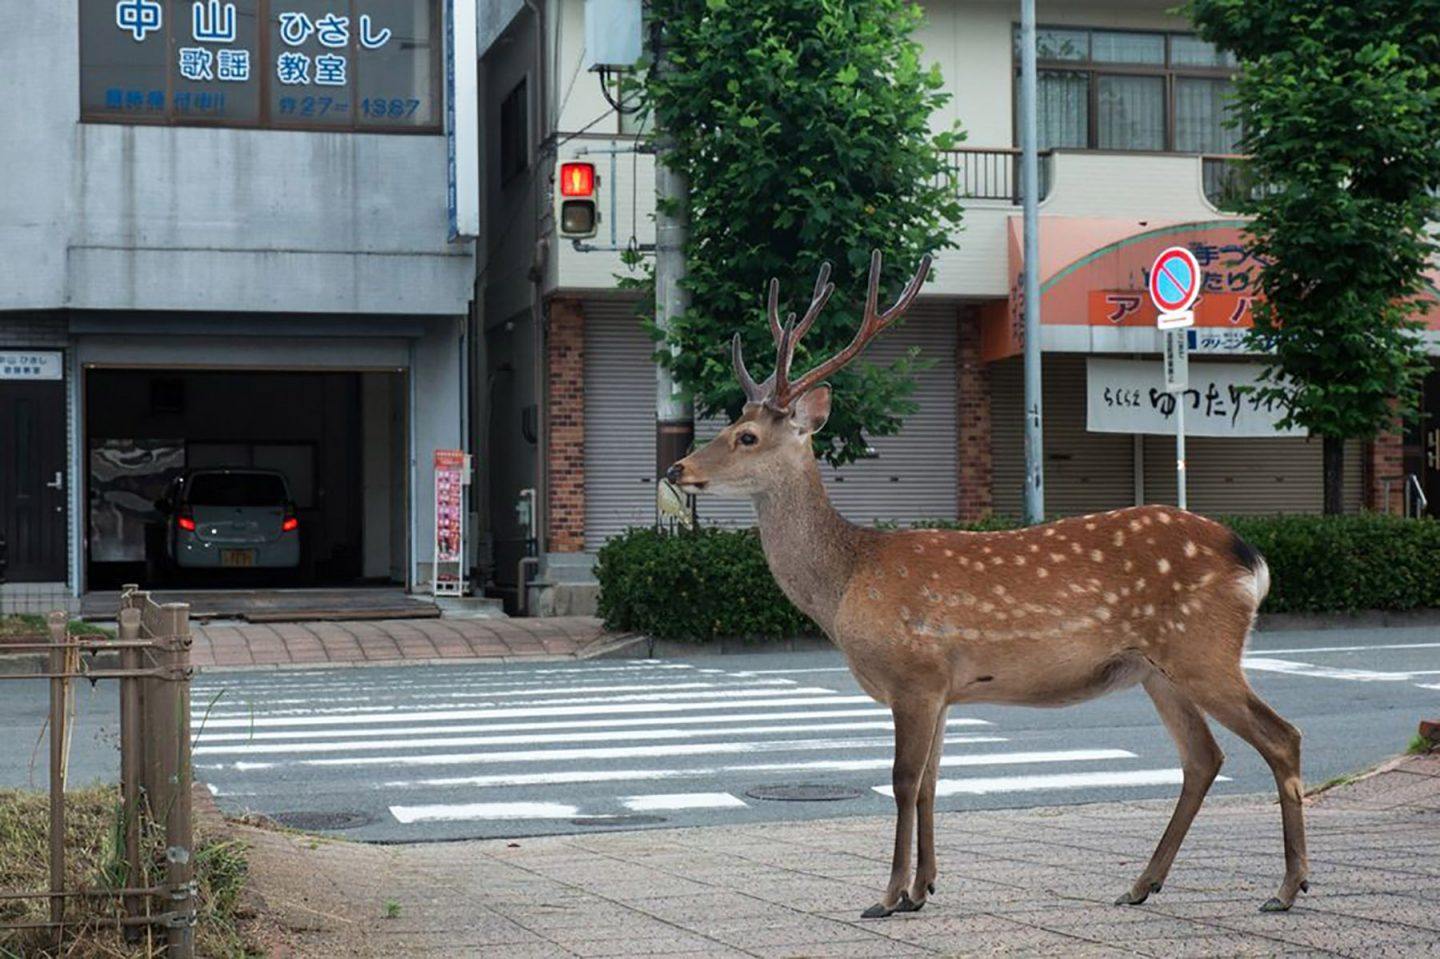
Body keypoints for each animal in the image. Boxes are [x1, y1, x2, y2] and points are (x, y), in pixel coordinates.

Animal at [668, 250, 1313, 915]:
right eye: (732, 421)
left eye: (746, 436)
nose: (676, 468)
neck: (848, 580)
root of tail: (1250, 559)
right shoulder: (943, 689)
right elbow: (931, 783)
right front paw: (923, 889)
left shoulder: (915, 674)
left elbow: (902, 781)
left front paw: (888, 895)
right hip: (1157, 669)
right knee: (1203, 757)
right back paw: (1141, 884)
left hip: (1202, 649)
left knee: (1281, 736)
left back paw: (1287, 887)